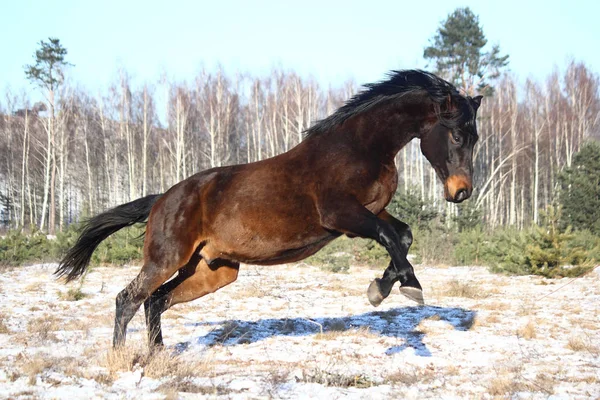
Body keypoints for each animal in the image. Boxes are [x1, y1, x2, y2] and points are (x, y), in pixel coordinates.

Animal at [56, 70, 482, 348]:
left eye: (475, 137)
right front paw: (409, 287)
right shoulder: (341, 215)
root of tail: (161, 199)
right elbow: (391, 236)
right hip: (166, 259)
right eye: (457, 135)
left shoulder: (371, 211)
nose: (461, 192)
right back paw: (122, 360)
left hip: (212, 271)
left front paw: (380, 288)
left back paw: (158, 356)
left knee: (155, 302)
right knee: (128, 300)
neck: (358, 147)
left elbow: (402, 235)